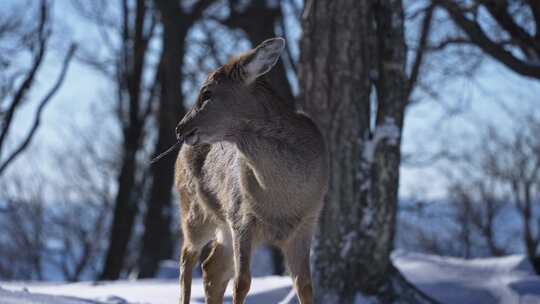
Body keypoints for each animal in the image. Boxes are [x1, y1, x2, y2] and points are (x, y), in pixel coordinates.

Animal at [175, 38, 330, 304]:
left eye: (206, 93)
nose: (179, 128)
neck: (282, 199)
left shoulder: (308, 221)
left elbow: (305, 285)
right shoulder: (241, 216)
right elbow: (242, 283)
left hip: (221, 224)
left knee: (211, 267)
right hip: (194, 210)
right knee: (188, 258)